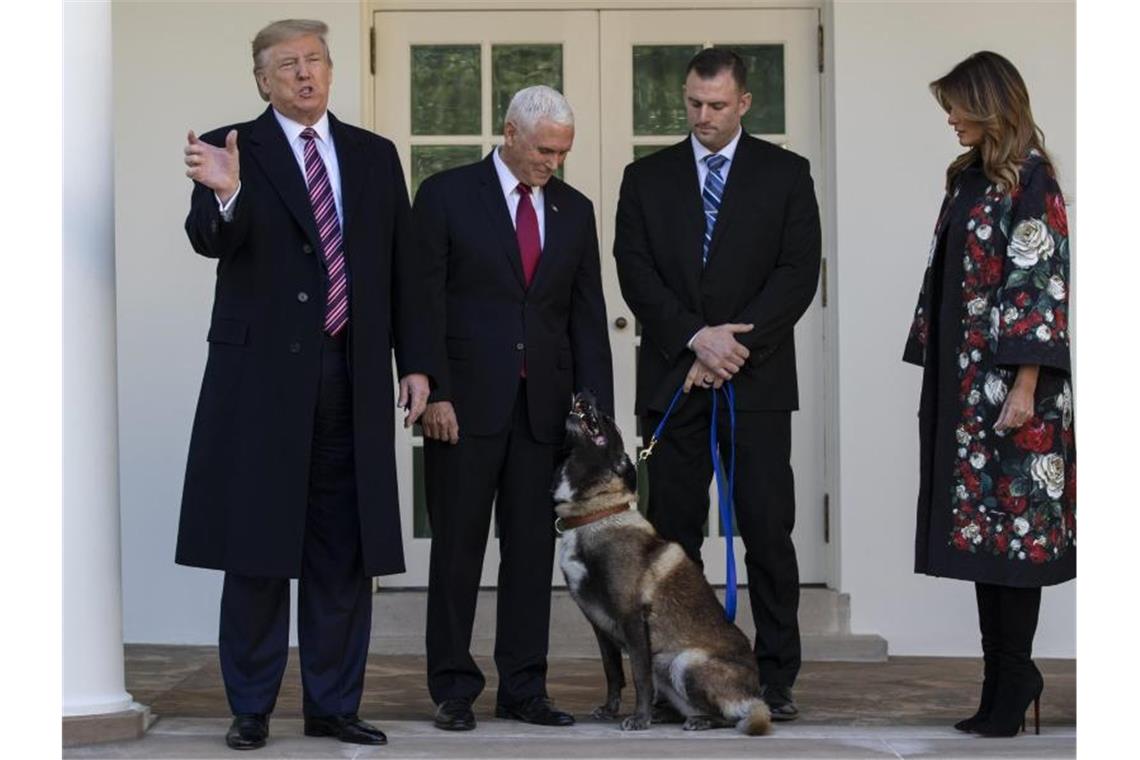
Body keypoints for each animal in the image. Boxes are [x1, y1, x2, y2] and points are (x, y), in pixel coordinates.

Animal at [554, 391, 775, 738]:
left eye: (607, 420)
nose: (587, 392)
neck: (595, 513)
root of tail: (755, 695)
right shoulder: (599, 626)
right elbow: (612, 670)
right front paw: (609, 708)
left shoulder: (632, 618)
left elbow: (638, 675)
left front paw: (639, 718)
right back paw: (672, 715)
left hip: (685, 661)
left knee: (731, 716)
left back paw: (698, 721)